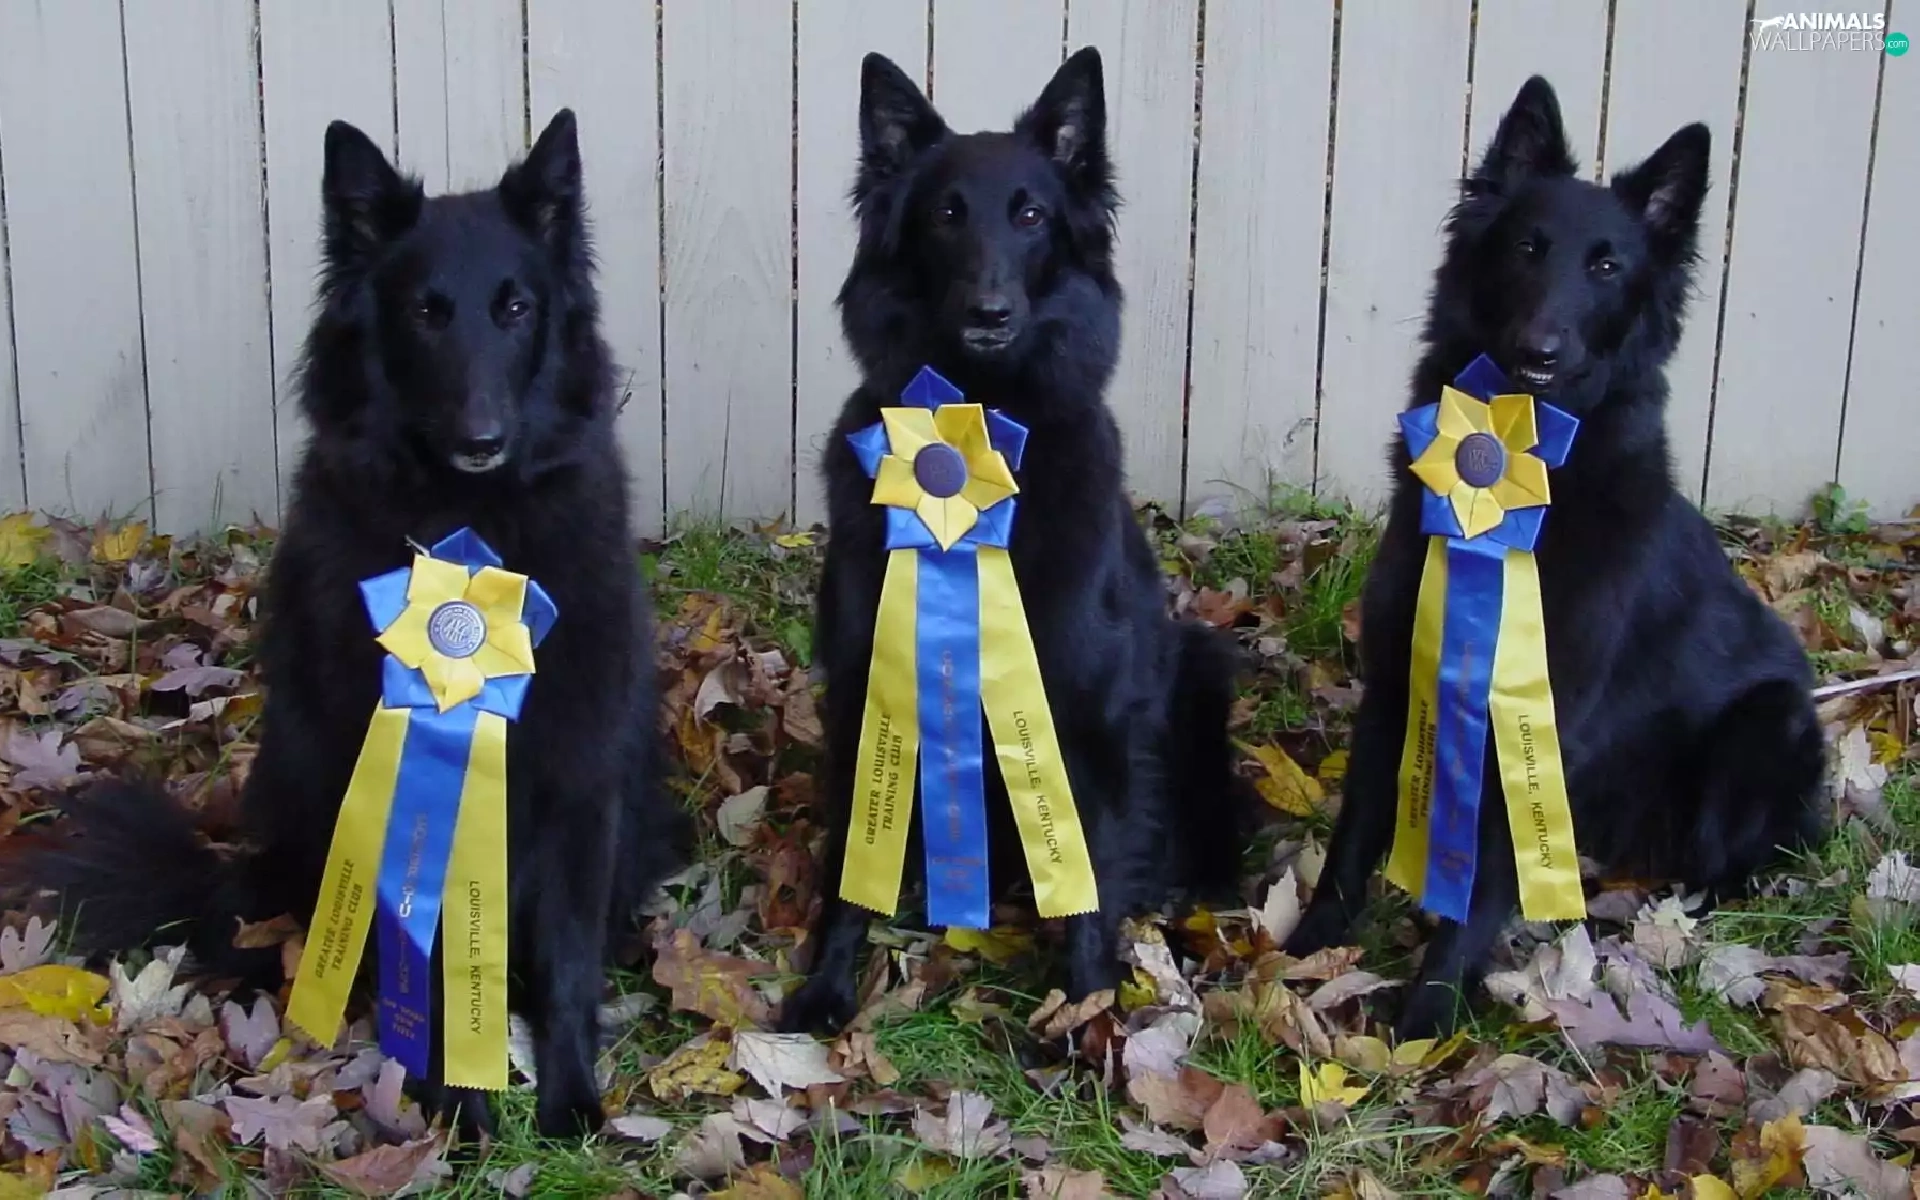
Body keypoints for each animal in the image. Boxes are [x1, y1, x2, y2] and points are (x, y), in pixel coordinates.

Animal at [7, 110, 687, 1137]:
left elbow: (567, 958)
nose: (483, 437)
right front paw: (460, 1100)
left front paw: (569, 1104)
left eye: (515, 308)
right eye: (426, 313)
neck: (472, 525)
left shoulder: (581, 774)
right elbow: (434, 965)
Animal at [779, 47, 1243, 1034]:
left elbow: (1089, 871)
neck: (979, 427)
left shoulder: (1086, 708)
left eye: (1030, 215)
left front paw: (1085, 1009)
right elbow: (850, 868)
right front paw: (828, 984)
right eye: (946, 215)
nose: (990, 311)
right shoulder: (866, 688)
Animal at [1284, 77, 1826, 1038]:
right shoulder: (1398, 680)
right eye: (1528, 248)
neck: (1522, 464)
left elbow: (1487, 878)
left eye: (1607, 268)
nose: (1540, 349)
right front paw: (1308, 953)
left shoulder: (1541, 719)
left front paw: (1428, 1016)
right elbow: (1353, 837)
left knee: (1729, 867)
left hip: (1764, 733)